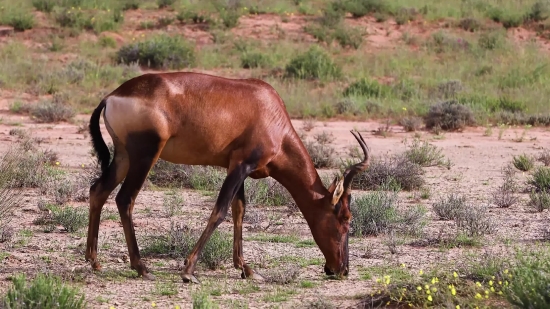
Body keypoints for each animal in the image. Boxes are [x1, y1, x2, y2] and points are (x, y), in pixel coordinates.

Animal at [85, 71, 370, 282]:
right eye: (345, 218)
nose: (341, 270)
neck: (269, 110)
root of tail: (112, 96)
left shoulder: (236, 167)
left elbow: (238, 210)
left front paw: (247, 269)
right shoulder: (242, 165)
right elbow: (220, 210)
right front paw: (188, 271)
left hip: (123, 156)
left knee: (98, 190)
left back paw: (94, 261)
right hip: (145, 155)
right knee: (125, 199)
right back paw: (141, 267)